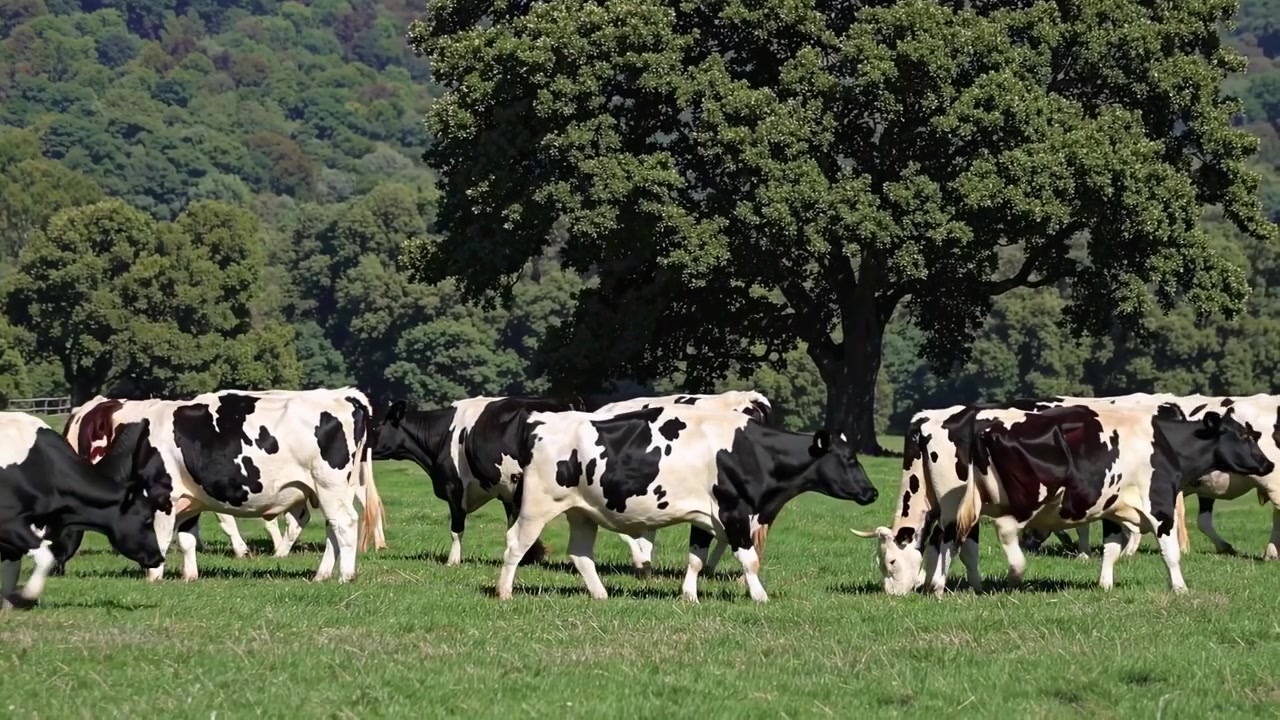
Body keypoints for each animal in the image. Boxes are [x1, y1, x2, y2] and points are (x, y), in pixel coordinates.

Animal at [0, 412, 167, 609]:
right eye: (148, 519)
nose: (159, 557)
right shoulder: (9, 523)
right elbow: (45, 557)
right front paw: (27, 595)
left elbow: (12, 571)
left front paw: (10, 603)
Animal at [115, 390, 382, 583]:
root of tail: (345, 396)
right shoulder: (189, 502)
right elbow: (186, 539)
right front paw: (189, 576)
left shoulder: (163, 496)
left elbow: (161, 539)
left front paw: (153, 577)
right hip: (336, 490)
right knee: (333, 528)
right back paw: (322, 575)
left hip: (330, 486)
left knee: (345, 524)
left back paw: (345, 576)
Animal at [371, 395, 586, 566]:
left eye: (377, 427)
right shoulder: (508, 491)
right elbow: (513, 525)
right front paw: (528, 558)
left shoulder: (454, 487)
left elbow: (456, 529)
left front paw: (453, 561)